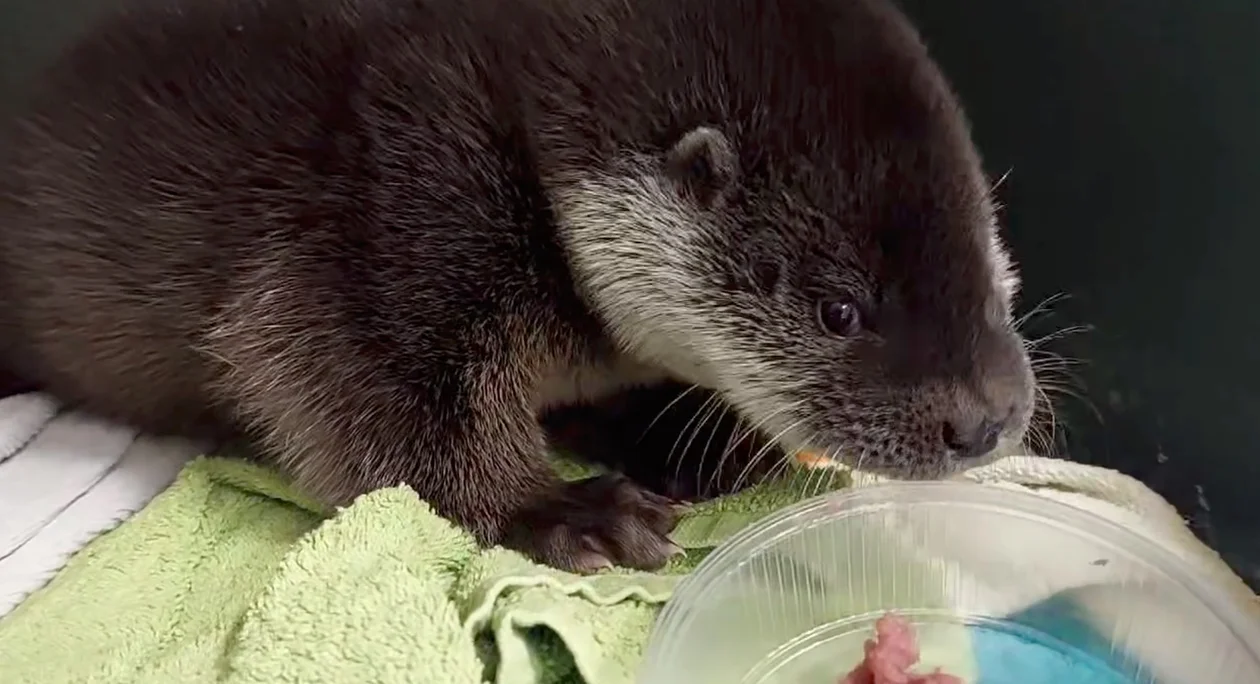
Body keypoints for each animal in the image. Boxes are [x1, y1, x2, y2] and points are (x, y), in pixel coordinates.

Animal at [0, 0, 1035, 572]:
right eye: (839, 309)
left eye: (996, 263)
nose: (988, 419)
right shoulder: (404, 203)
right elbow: (353, 383)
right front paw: (563, 513)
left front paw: (697, 445)